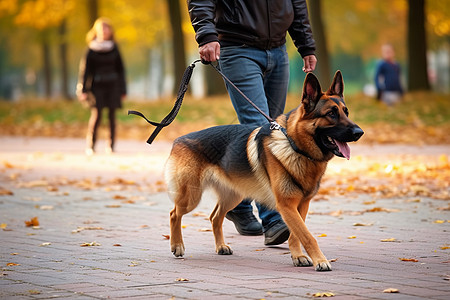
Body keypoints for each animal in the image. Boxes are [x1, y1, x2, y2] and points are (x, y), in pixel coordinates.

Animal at [167, 71, 364, 270]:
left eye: (346, 112)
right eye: (331, 114)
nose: (359, 133)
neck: (295, 146)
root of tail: (179, 140)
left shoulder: (300, 206)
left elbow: (297, 234)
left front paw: (298, 256)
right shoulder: (287, 205)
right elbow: (307, 236)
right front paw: (320, 260)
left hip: (233, 196)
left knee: (215, 217)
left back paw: (221, 246)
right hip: (191, 197)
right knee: (174, 214)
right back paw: (177, 246)